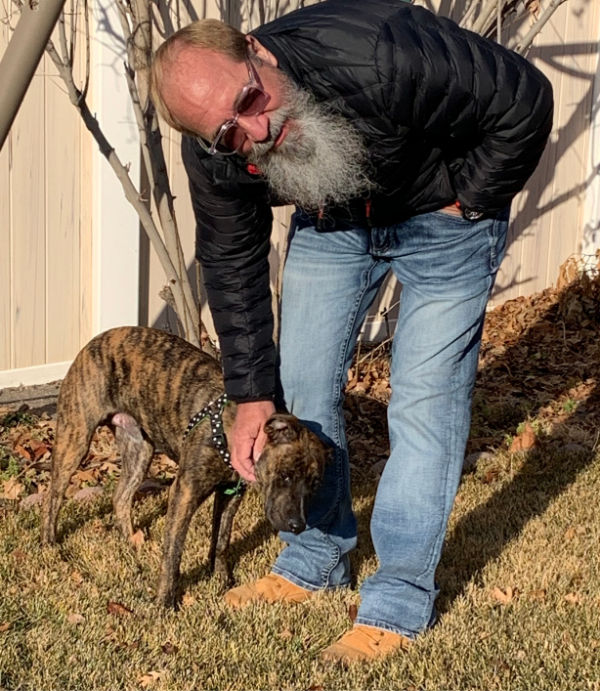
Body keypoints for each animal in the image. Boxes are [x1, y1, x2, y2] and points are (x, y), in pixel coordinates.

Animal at [41, 328, 328, 608]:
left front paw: (221, 579)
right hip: (75, 438)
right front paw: (165, 603)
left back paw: (131, 541)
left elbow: (221, 539)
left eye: (314, 485)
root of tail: (97, 340)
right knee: (54, 495)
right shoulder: (184, 492)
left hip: (139, 450)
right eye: (286, 475)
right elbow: (174, 551)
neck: (229, 429)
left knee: (120, 496)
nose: (297, 526)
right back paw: (51, 543)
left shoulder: (230, 492)